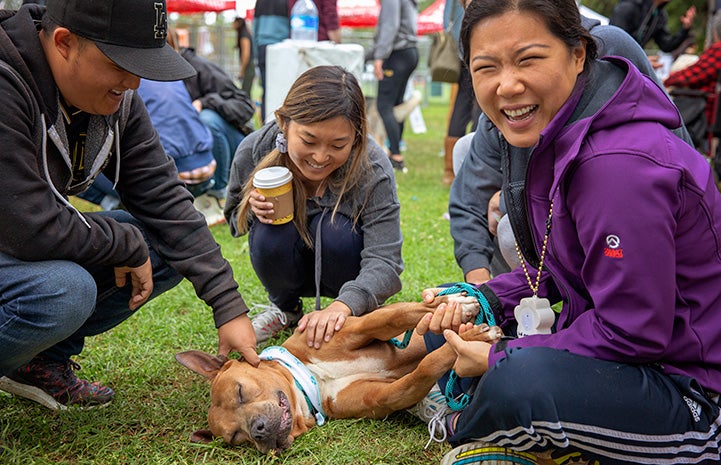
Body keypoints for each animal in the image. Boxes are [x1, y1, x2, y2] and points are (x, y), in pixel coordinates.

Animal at [174, 294, 500, 454]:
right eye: (235, 437)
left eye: (240, 391)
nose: (258, 432)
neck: (310, 379)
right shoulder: (385, 396)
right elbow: (423, 369)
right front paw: (467, 342)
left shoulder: (357, 327)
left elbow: (402, 313)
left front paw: (459, 309)